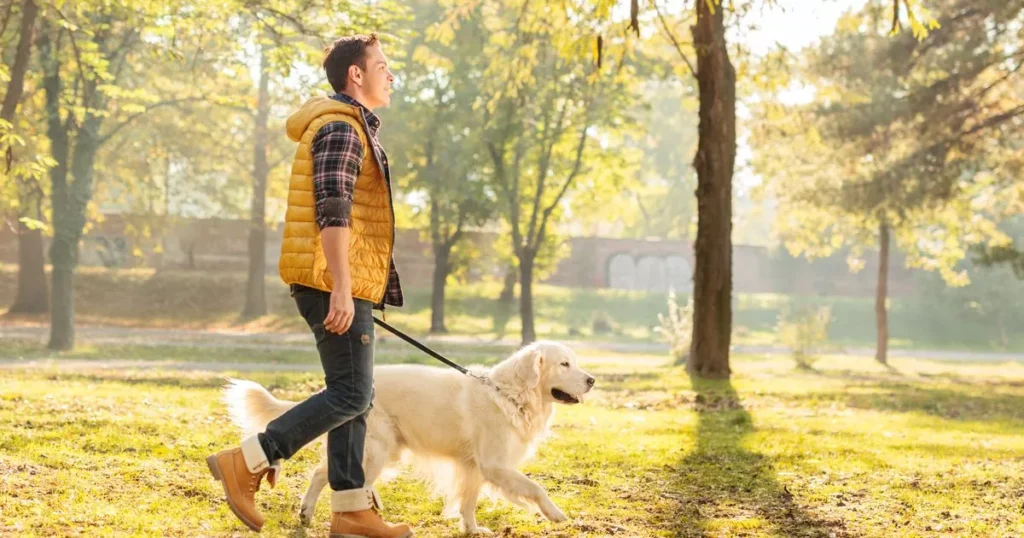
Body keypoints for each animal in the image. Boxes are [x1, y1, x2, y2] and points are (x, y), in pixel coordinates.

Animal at [220, 340, 598, 532]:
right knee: (325, 476)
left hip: (383, 452)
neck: (510, 393)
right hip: (377, 451)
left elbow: (469, 501)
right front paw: (555, 514)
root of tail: (339, 389)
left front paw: (472, 529)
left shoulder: (474, 466)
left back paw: (312, 514)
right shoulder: (494, 464)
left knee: (326, 475)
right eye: (564, 364)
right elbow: (535, 488)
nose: (592, 380)